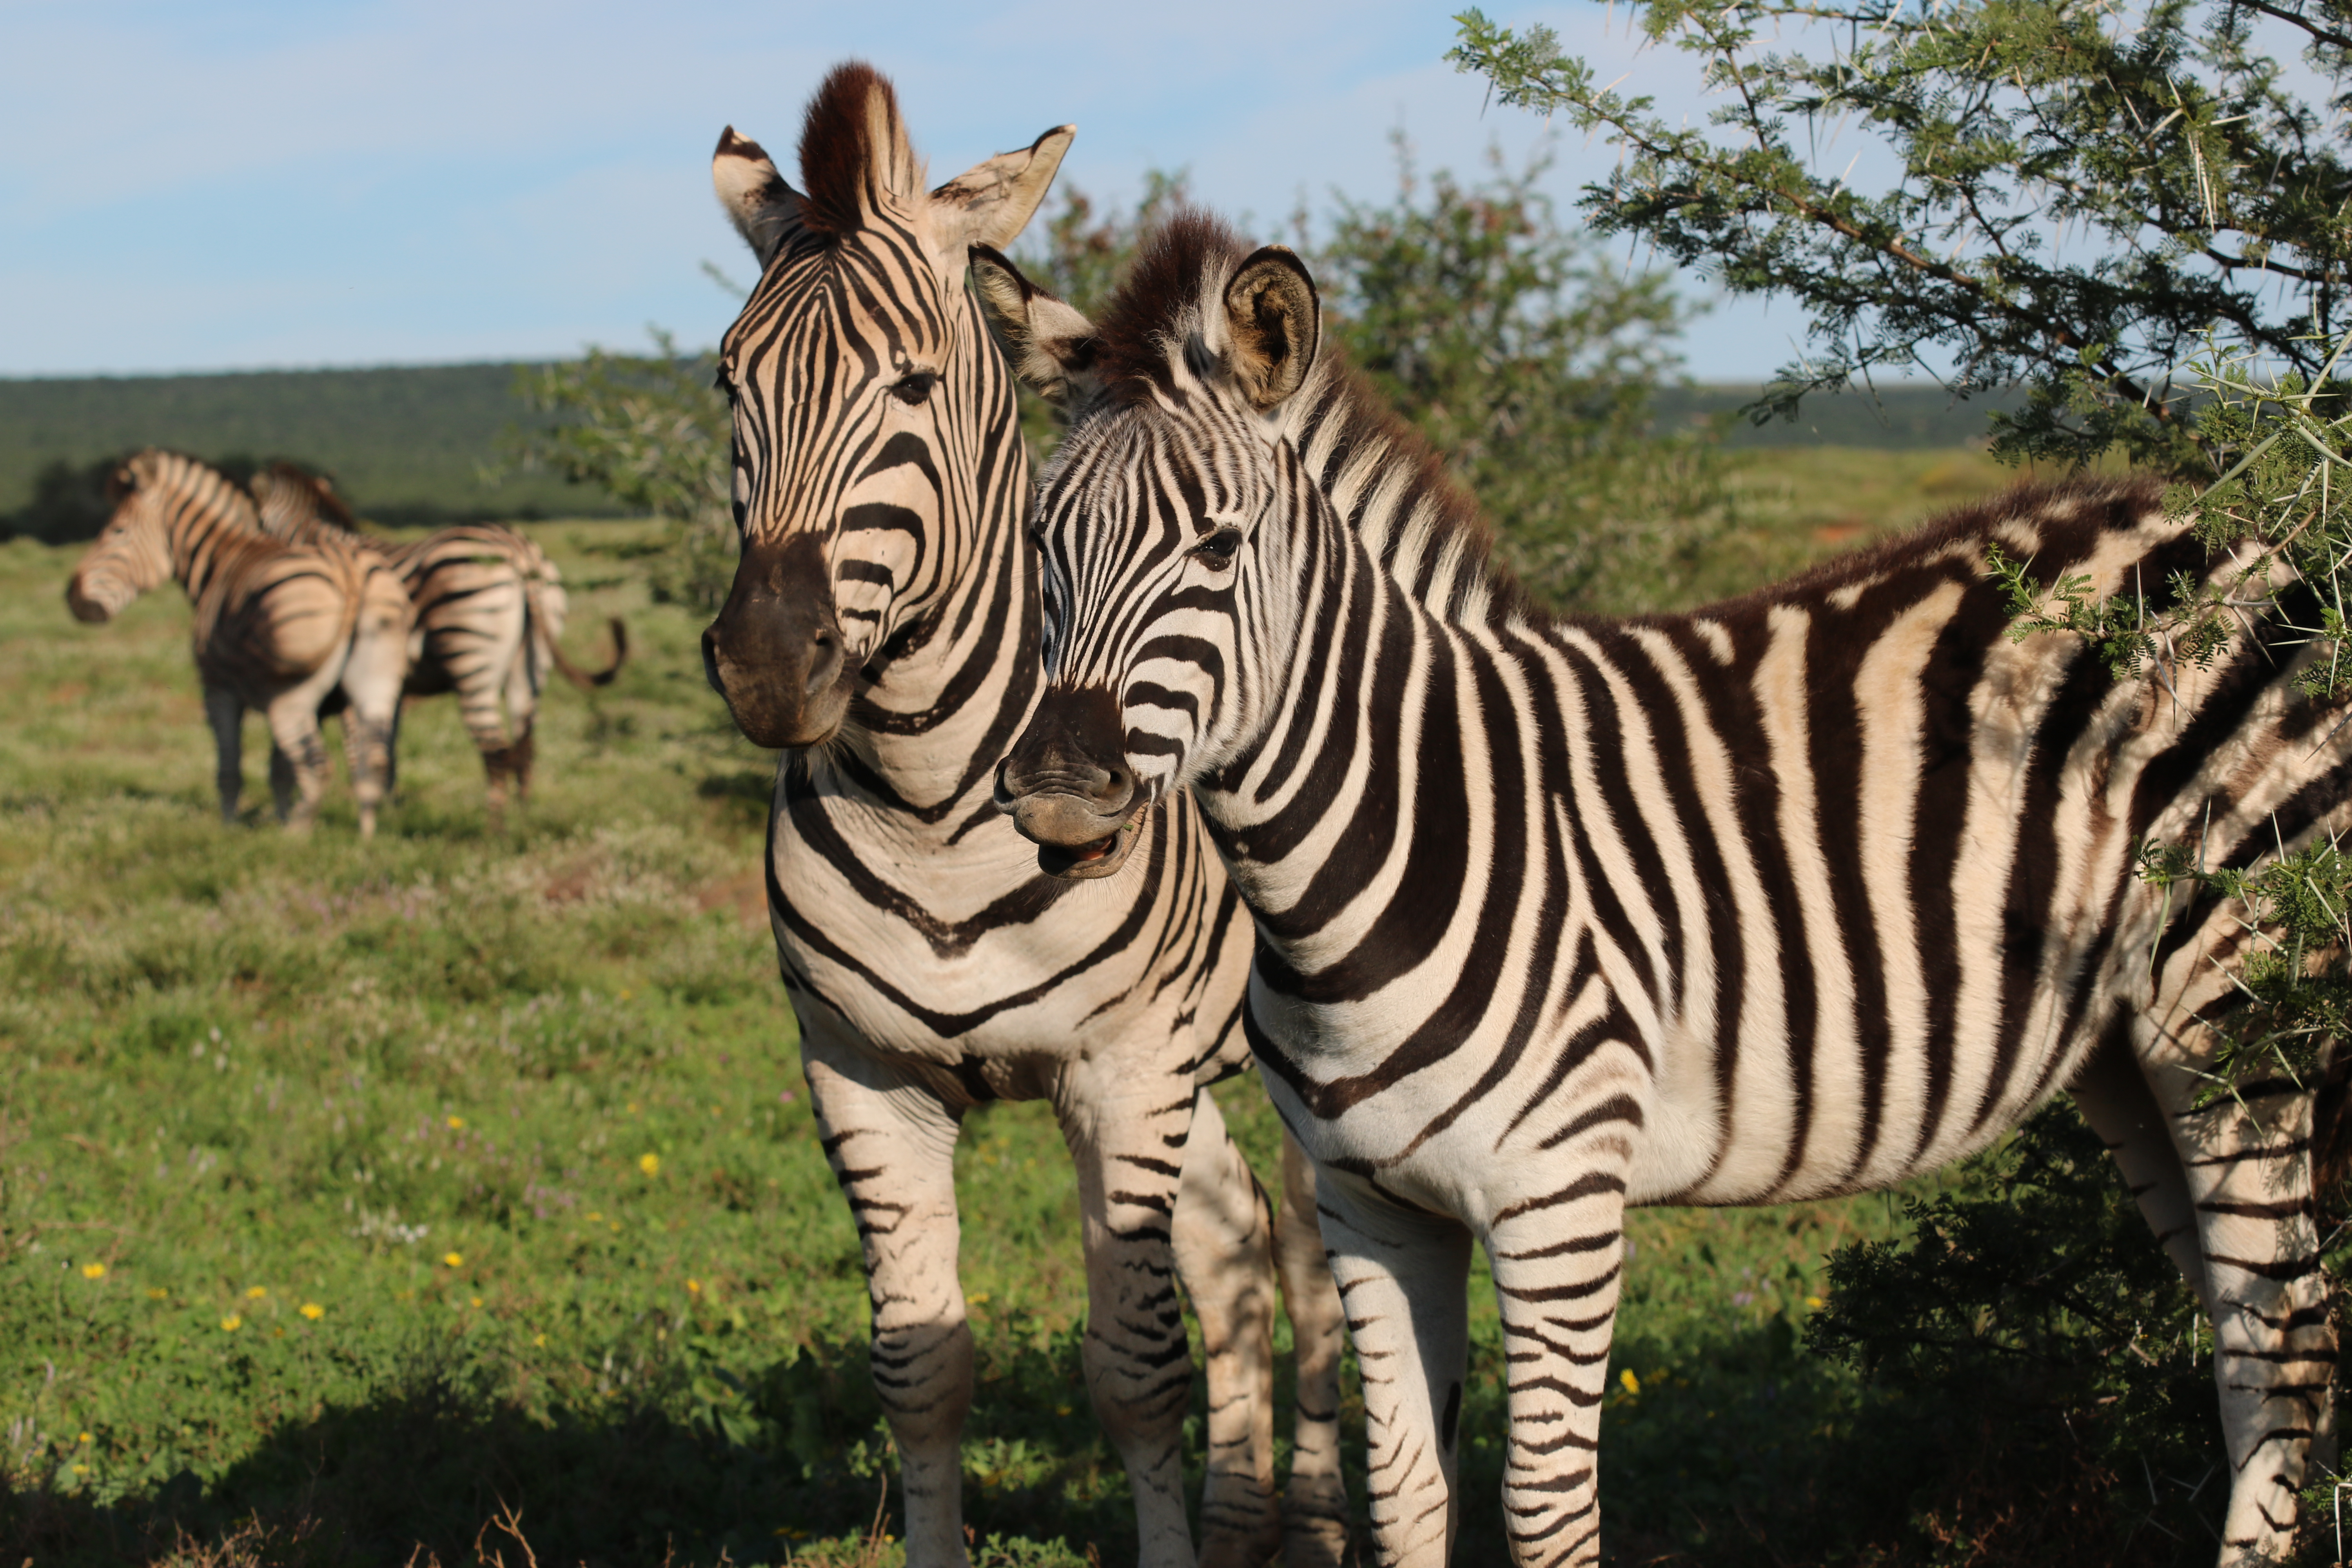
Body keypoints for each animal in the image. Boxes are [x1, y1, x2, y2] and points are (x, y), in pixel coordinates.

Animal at [66, 449, 414, 837]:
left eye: (118, 531)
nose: (72, 596)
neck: (222, 560)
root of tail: (350, 575)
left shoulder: (219, 689)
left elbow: (229, 770)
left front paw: (228, 833)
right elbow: (279, 770)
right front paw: (277, 816)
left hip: (289, 695)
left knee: (317, 766)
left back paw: (295, 839)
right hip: (377, 681)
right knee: (373, 762)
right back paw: (364, 839)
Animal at [249, 462, 626, 815]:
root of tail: (519, 550)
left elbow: (358, 747)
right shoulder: (391, 687)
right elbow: (387, 749)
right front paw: (387, 808)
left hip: (471, 651)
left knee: (497, 751)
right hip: (532, 662)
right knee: (526, 745)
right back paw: (524, 819)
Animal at [696, 67, 1346, 1568]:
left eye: (912, 384)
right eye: (726, 381)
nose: (767, 665)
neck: (936, 808)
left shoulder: (1120, 1068)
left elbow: (1135, 1368)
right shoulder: (861, 1075)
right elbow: (920, 1367)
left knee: (1307, 1262)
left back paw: (1318, 1513)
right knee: (1235, 1251)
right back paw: (1246, 1514)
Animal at [979, 212, 2348, 1567]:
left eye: (1217, 546)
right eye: (1040, 545)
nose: (1054, 790)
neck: (1364, 867)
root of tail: (2233, 523)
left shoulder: (1559, 1202)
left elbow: (1545, 1513)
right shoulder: (1371, 1209)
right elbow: (1409, 1496)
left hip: (2241, 1021)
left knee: (2280, 1350)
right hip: (2126, 1052)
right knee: (2244, 1330)